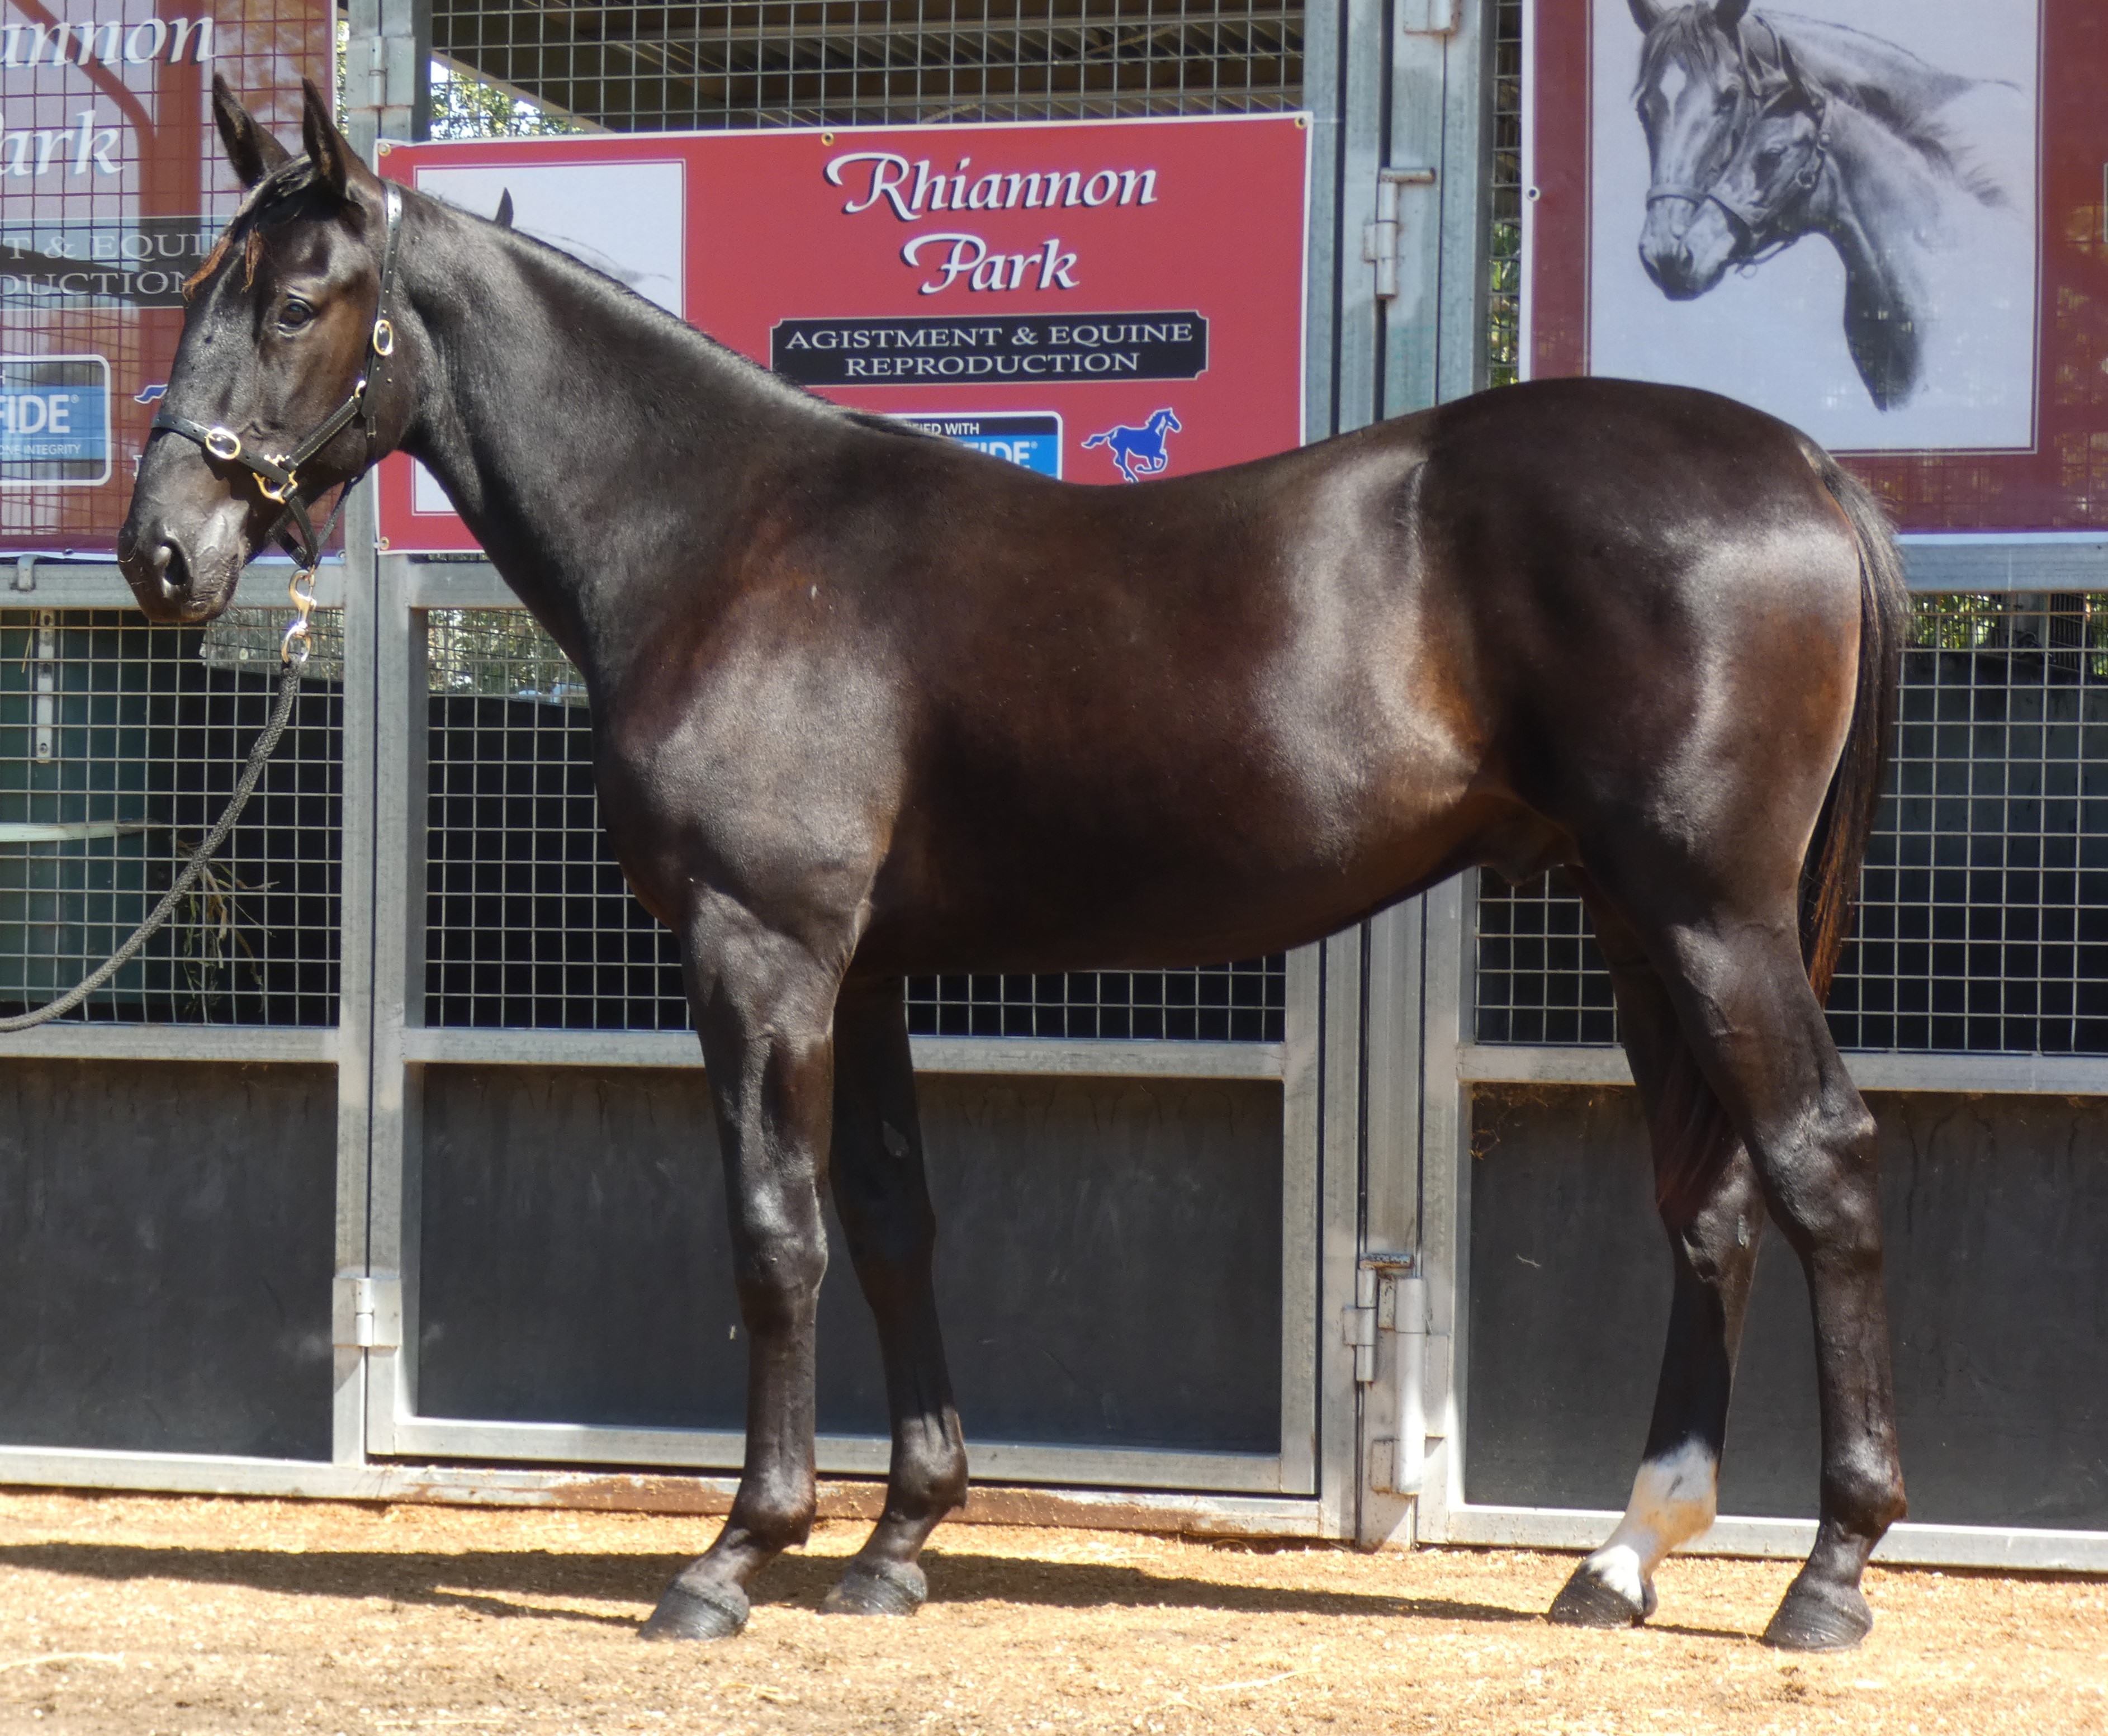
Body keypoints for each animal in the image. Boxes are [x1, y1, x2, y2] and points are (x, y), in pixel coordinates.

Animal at [1081, 408, 1182, 481]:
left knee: (1118, 461)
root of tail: (1113, 432)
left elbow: (1162, 458)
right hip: (1122, 449)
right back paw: (1133, 477)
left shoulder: (1153, 454)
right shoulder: (1151, 454)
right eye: (1172, 417)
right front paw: (1142, 468)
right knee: (1121, 462)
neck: (1156, 433)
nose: (1178, 427)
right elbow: (1160, 461)